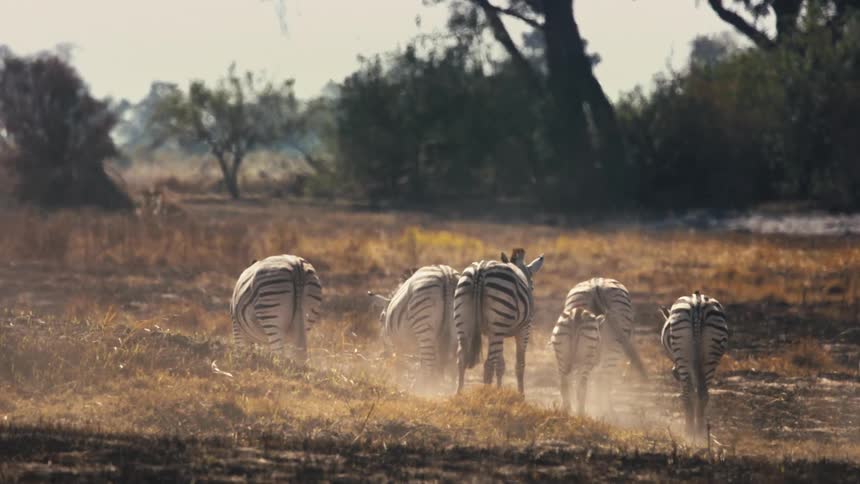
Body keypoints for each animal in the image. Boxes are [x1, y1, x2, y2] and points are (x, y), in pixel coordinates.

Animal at [454, 248, 544, 395]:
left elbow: (501, 365)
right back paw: (485, 395)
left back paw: (459, 395)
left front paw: (499, 391)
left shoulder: (496, 333)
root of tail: (481, 270)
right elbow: (520, 364)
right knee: (489, 364)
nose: (531, 289)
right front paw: (520, 396)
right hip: (498, 323)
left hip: (465, 321)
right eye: (532, 287)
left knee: (462, 359)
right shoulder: (525, 328)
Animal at [659, 291, 729, 439]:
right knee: (703, 394)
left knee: (687, 394)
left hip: (683, 354)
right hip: (711, 354)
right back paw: (700, 432)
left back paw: (689, 431)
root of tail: (698, 304)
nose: (675, 373)